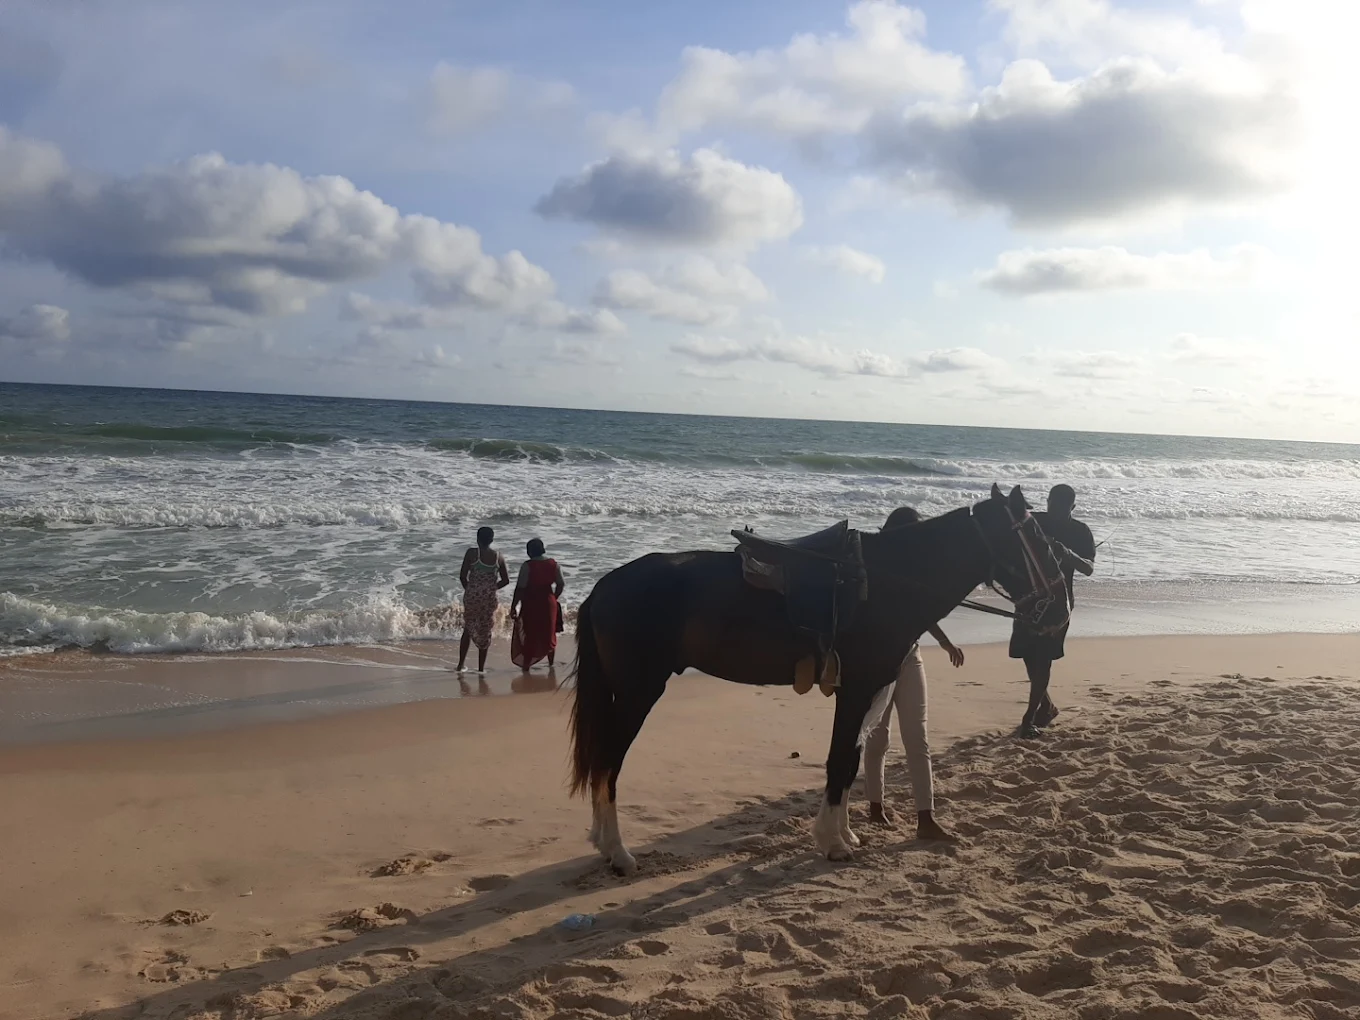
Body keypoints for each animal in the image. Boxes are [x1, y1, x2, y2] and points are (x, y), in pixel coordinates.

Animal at [567, 484, 1051, 874]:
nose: (1051, 597)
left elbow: (851, 760)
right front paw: (833, 843)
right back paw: (617, 852)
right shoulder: (857, 691)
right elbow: (839, 761)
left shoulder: (866, 692)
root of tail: (603, 587)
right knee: (608, 762)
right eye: (1034, 537)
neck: (883, 583)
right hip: (638, 692)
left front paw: (845, 833)